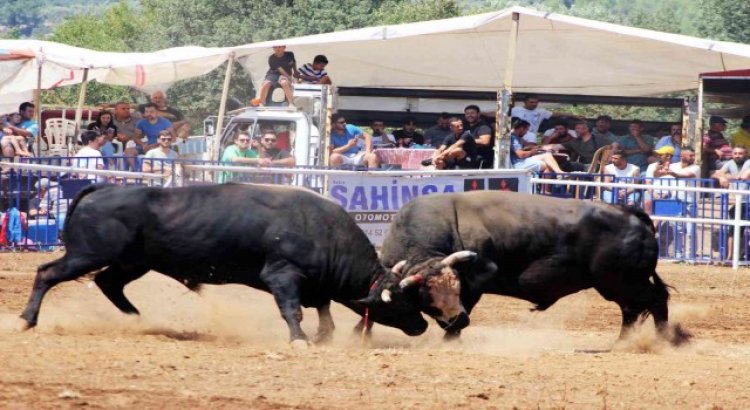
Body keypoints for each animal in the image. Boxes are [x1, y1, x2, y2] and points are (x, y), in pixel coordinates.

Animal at [19, 184, 428, 342]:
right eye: (404, 300)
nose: (423, 326)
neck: (322, 230)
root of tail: (102, 188)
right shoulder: (282, 275)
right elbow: (292, 309)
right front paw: (299, 339)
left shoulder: (316, 286)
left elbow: (324, 313)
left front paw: (322, 336)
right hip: (86, 254)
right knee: (47, 273)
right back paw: (27, 320)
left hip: (132, 263)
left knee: (108, 284)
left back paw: (138, 319)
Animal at [382, 191, 692, 344]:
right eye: (428, 299)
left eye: (454, 289)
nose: (459, 321)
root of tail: (631, 214)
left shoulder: (476, 281)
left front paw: (450, 338)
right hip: (619, 285)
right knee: (632, 309)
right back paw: (623, 342)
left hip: (623, 282)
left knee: (655, 300)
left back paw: (662, 339)